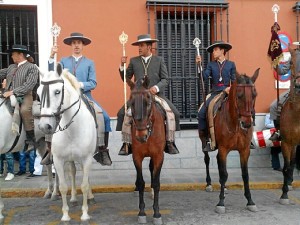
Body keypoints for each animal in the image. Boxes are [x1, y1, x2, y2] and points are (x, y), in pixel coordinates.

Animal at [37, 63, 96, 221]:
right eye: (38, 94)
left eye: (57, 92)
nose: (44, 126)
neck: (72, 129)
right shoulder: (58, 159)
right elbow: (63, 186)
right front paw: (65, 215)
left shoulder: (87, 158)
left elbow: (84, 185)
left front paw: (85, 214)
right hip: (69, 159)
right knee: (73, 172)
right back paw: (74, 198)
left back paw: (90, 197)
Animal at [126, 76, 165, 225]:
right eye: (130, 103)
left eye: (148, 102)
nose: (140, 135)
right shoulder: (137, 156)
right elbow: (141, 182)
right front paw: (142, 212)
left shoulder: (159, 155)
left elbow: (157, 183)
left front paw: (157, 213)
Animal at [203, 68, 258, 213]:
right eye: (239, 95)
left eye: (255, 94)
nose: (247, 123)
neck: (235, 124)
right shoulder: (223, 149)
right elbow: (224, 174)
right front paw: (221, 203)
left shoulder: (244, 150)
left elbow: (245, 175)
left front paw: (250, 201)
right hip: (204, 141)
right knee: (207, 159)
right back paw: (209, 184)